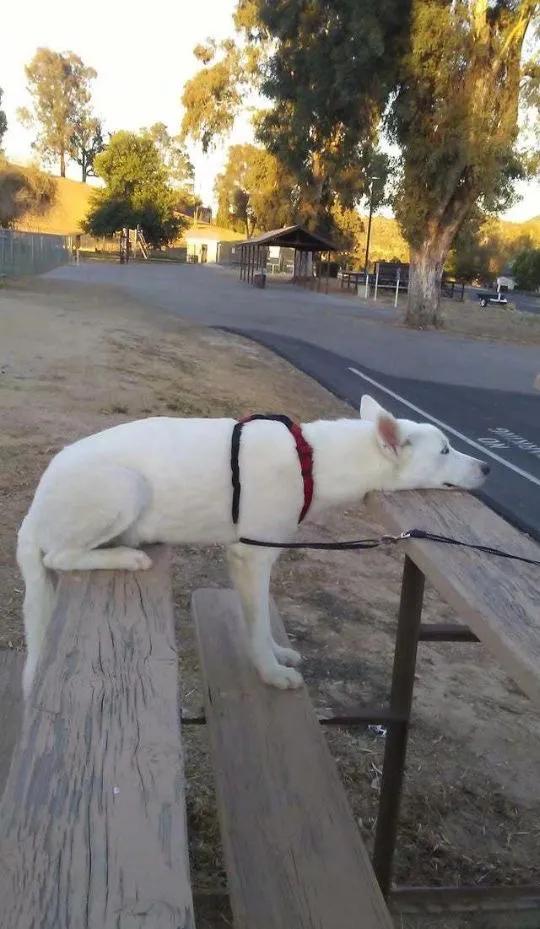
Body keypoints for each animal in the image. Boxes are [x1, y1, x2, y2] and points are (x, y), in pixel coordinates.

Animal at [17, 394, 490, 696]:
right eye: (446, 450)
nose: (487, 467)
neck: (311, 461)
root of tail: (32, 512)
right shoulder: (252, 557)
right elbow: (259, 624)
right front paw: (271, 672)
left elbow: (258, 622)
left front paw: (276, 655)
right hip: (126, 487)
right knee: (60, 555)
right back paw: (126, 556)